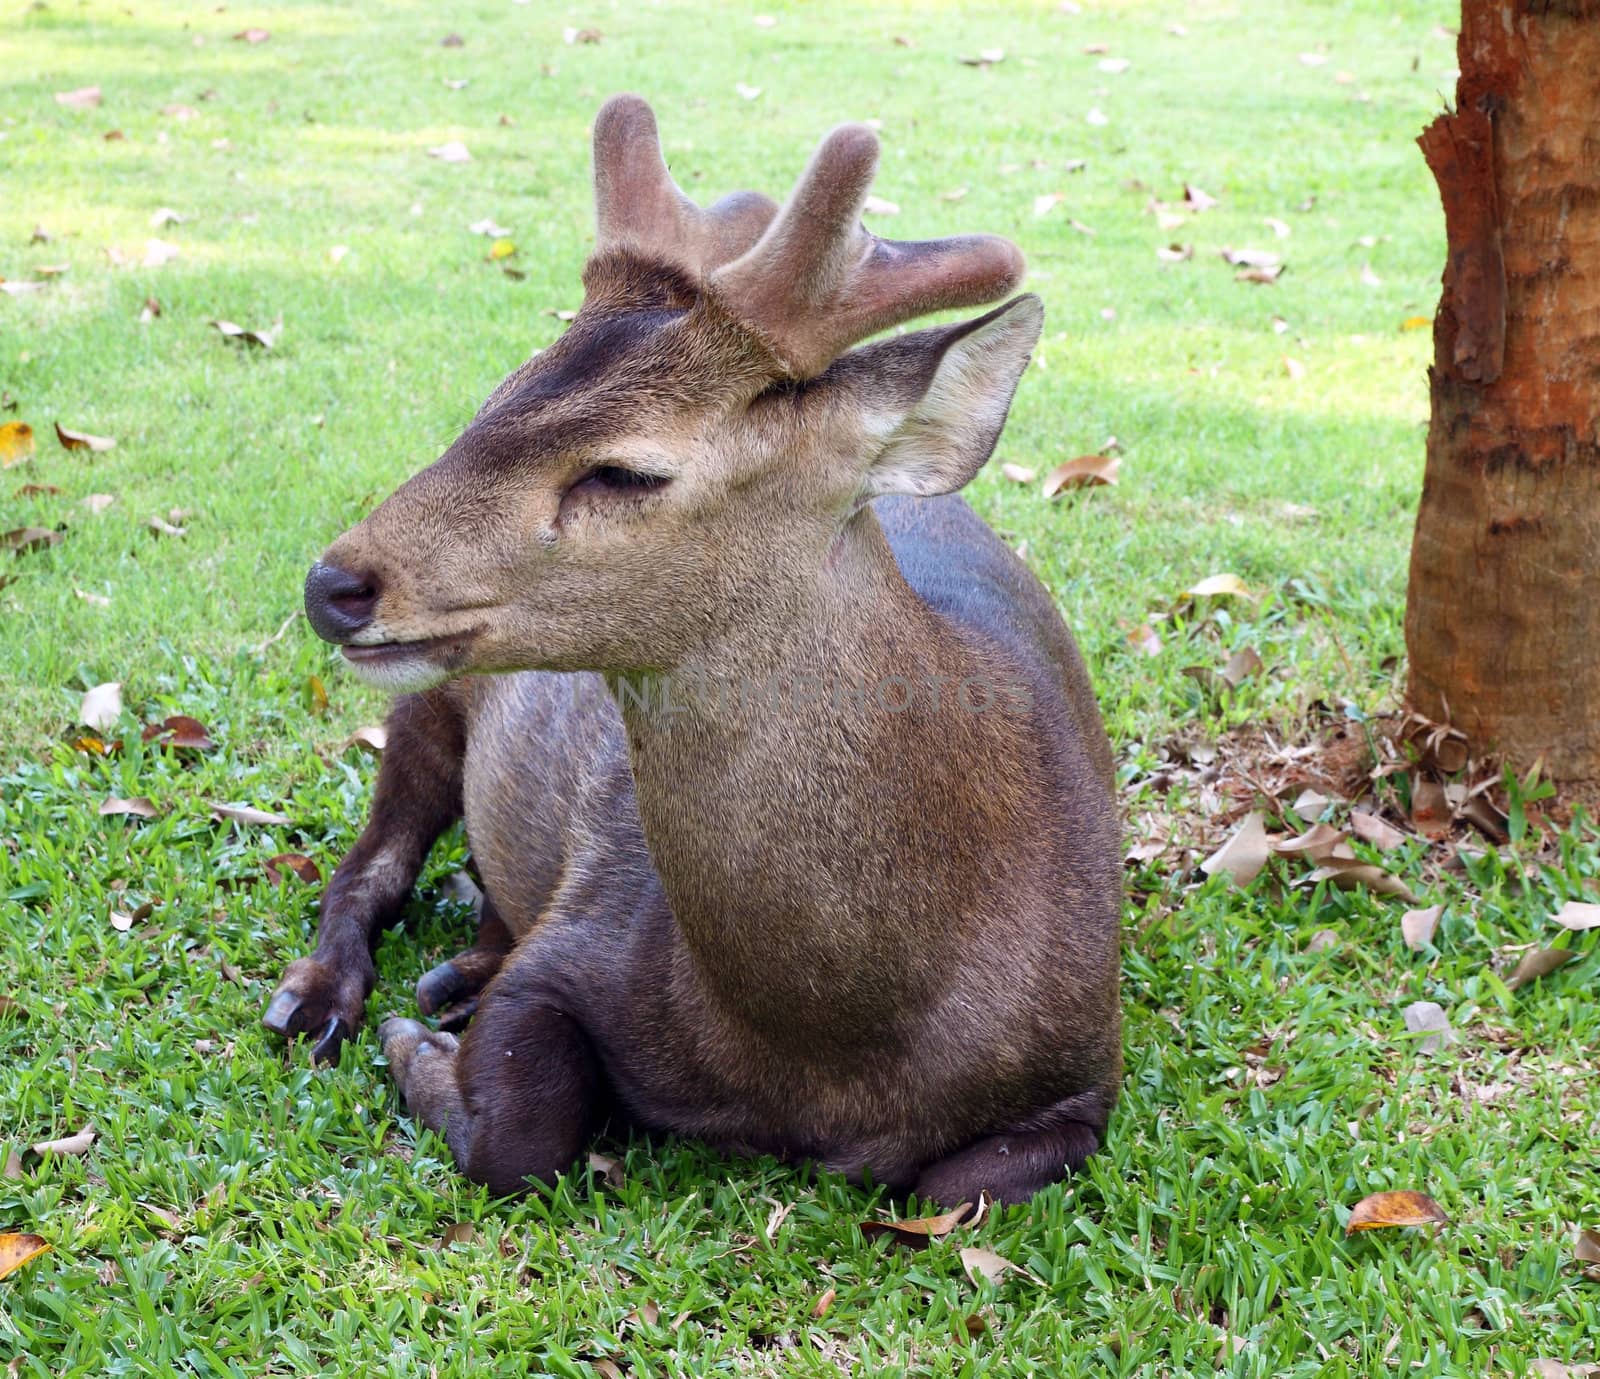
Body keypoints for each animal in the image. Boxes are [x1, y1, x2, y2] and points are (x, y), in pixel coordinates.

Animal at [262, 94, 1120, 1209]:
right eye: (497, 395)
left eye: (628, 469)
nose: (334, 585)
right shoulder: (586, 928)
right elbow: (521, 1136)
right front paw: (417, 1047)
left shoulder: (1087, 1065)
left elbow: (952, 1182)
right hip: (435, 701)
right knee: (371, 861)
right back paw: (322, 999)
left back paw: (454, 973)